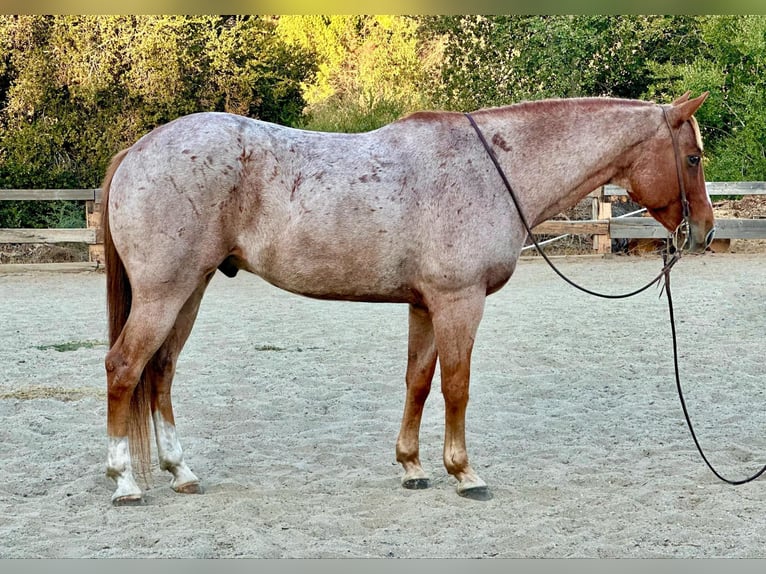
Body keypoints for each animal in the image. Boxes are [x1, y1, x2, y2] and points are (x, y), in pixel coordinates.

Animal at [101, 92, 714, 505]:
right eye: (693, 158)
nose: (704, 232)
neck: (491, 168)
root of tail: (139, 148)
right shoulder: (459, 302)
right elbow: (456, 386)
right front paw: (464, 472)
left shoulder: (425, 305)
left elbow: (418, 381)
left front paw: (412, 466)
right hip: (164, 294)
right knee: (125, 368)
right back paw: (125, 480)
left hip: (191, 290)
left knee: (161, 371)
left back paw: (180, 471)